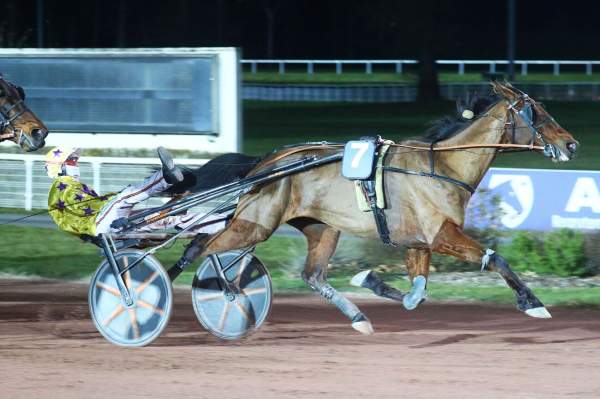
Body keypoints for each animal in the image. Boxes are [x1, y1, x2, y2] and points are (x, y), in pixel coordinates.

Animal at [168, 83, 576, 336]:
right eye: (536, 112)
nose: (571, 144)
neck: (442, 167)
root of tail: (263, 166)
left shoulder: (417, 242)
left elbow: (416, 295)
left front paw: (371, 281)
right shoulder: (440, 234)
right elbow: (495, 258)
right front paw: (533, 303)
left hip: (321, 228)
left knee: (312, 275)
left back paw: (358, 317)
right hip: (255, 224)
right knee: (197, 248)